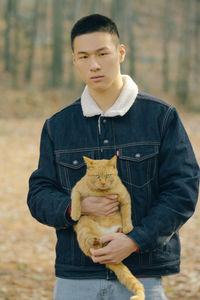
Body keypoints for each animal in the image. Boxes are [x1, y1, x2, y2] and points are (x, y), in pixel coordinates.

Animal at [71, 156, 145, 298]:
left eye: (108, 175)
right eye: (97, 176)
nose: (103, 183)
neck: (102, 192)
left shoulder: (125, 197)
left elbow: (127, 213)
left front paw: (128, 227)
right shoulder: (76, 188)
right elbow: (76, 200)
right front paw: (74, 213)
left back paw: (119, 231)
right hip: (85, 223)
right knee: (89, 246)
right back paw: (94, 240)